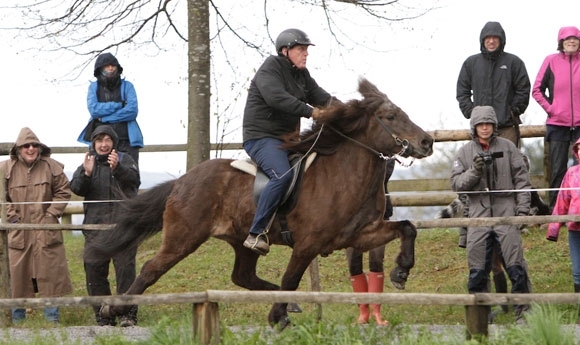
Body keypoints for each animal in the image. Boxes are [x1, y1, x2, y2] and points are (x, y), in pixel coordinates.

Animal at [93, 78, 432, 328]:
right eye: (390, 117)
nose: (426, 142)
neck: (344, 174)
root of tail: (182, 181)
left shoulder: (358, 235)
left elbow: (407, 227)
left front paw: (401, 271)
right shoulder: (308, 244)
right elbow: (292, 277)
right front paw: (276, 316)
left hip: (241, 241)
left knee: (242, 276)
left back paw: (291, 303)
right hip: (183, 237)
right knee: (151, 268)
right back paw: (113, 310)